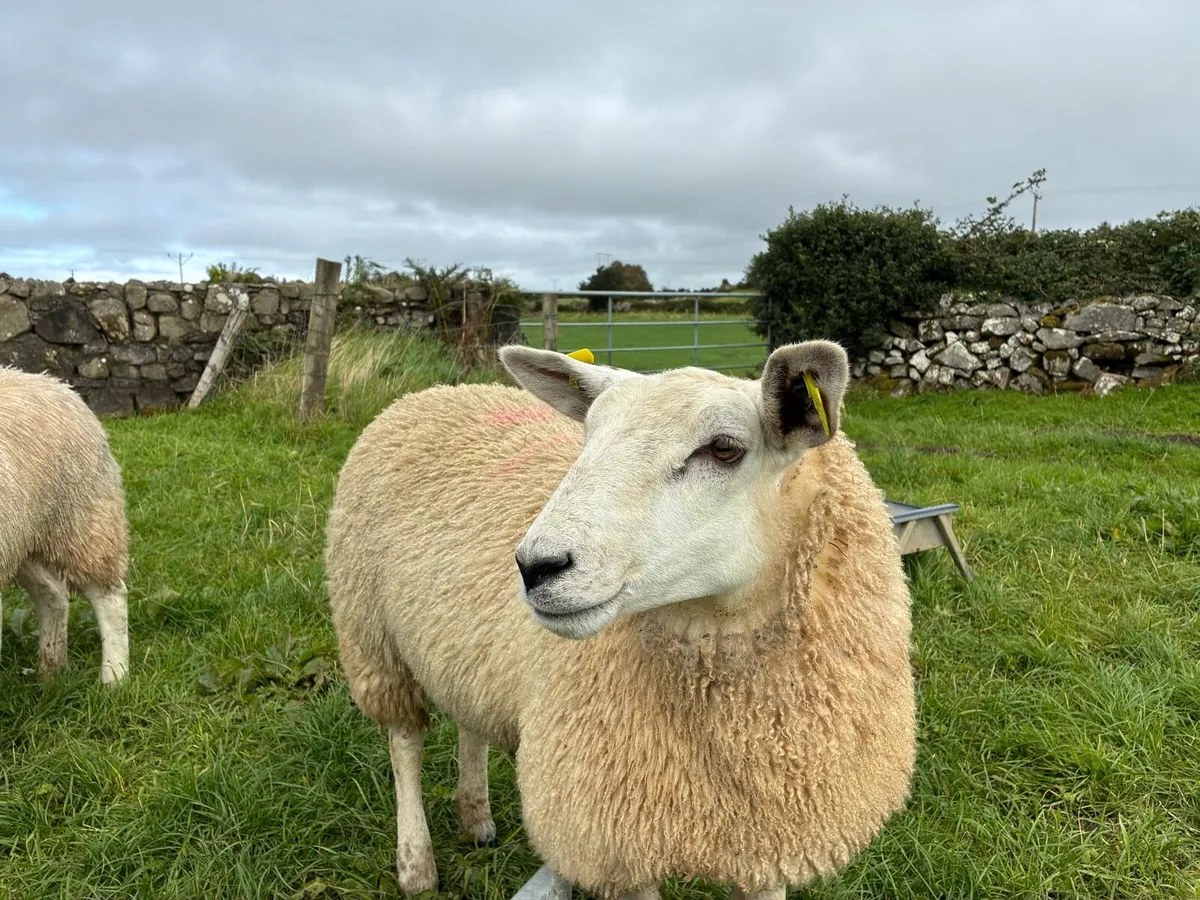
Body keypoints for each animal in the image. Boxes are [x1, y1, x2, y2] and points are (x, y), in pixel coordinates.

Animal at [0, 366, 130, 685]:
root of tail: (53, 381)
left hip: (84, 521)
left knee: (111, 598)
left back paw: (115, 678)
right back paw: (51, 670)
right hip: (26, 538)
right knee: (53, 593)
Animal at [324, 340, 916, 899]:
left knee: (470, 720)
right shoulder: (615, 839)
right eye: (587, 437)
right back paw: (416, 863)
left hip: (461, 652)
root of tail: (432, 392)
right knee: (404, 741)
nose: (535, 565)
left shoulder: (771, 844)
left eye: (724, 448)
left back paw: (476, 818)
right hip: (371, 634)